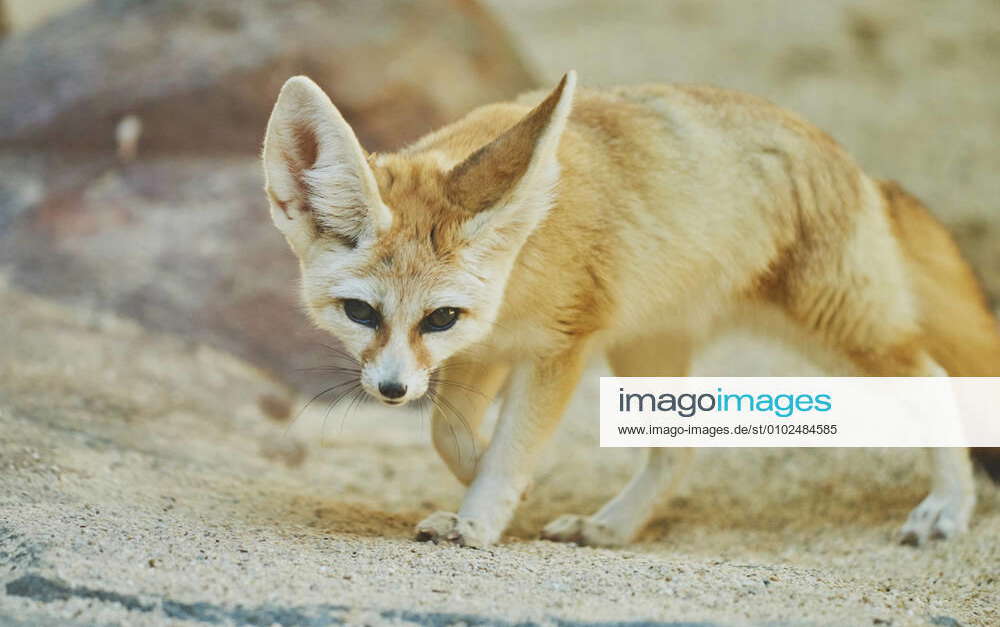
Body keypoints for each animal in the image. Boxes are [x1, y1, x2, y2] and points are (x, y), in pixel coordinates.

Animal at [260, 71, 1000, 548]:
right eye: (360, 312)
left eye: (438, 315)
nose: (389, 391)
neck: (525, 257)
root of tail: (857, 166)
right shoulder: (484, 350)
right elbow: (451, 434)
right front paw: (492, 487)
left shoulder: (557, 345)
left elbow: (511, 442)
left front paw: (480, 517)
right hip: (648, 348)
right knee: (681, 447)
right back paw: (610, 526)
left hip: (841, 335)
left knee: (937, 381)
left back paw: (947, 507)